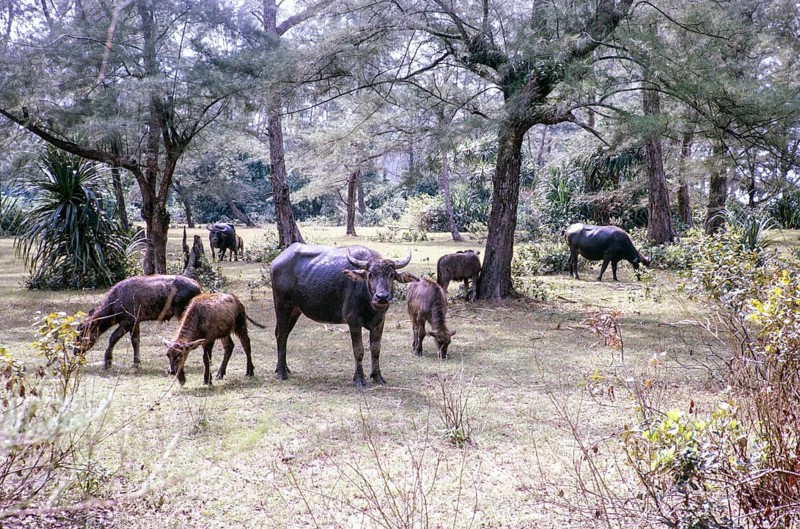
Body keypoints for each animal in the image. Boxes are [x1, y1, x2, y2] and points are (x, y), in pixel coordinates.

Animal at [270, 243, 417, 387]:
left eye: (391, 275)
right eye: (370, 274)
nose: (382, 297)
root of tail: (276, 262)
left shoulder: (379, 322)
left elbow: (376, 349)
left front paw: (377, 377)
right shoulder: (353, 321)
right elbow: (359, 350)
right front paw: (359, 379)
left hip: (295, 310)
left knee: (283, 334)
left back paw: (282, 368)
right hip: (282, 305)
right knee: (281, 335)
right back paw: (281, 372)